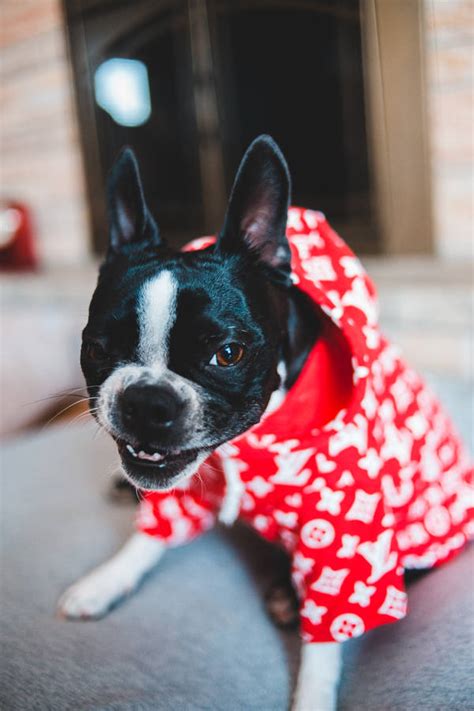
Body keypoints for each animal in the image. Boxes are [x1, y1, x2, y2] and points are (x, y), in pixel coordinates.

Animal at [57, 136, 342, 708]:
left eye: (227, 354)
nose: (147, 401)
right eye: (96, 348)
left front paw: (313, 698)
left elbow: (324, 642)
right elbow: (148, 537)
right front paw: (106, 580)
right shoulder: (178, 492)